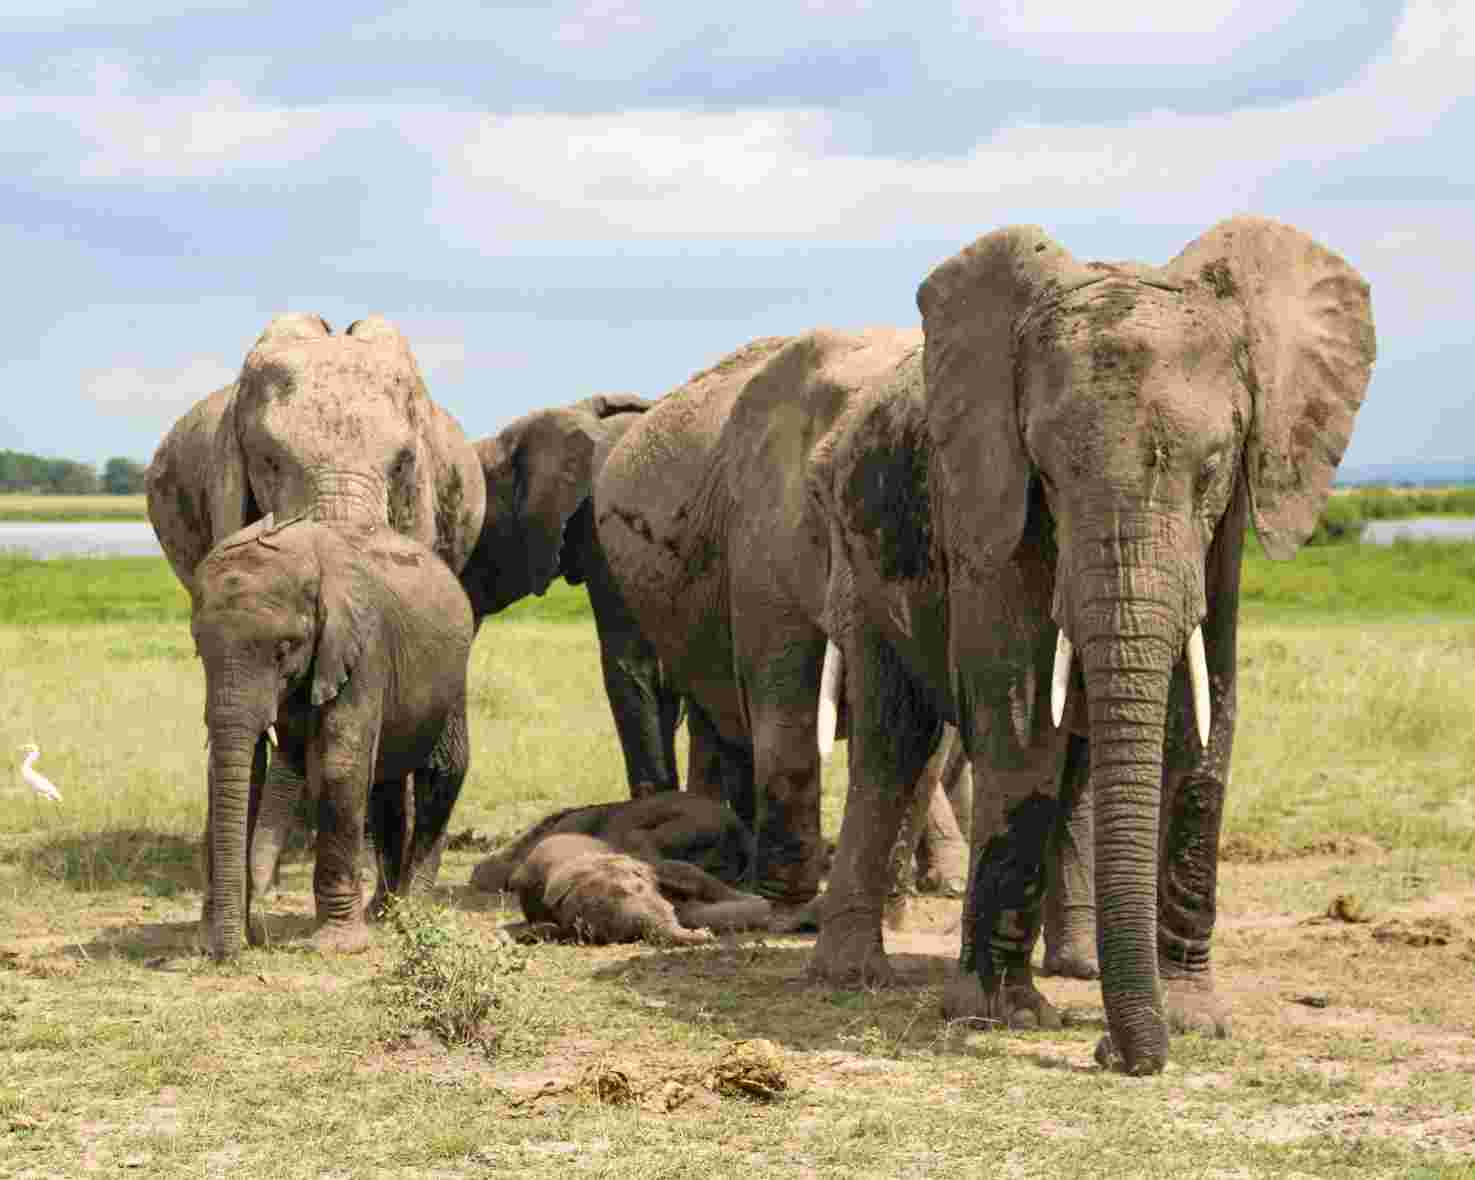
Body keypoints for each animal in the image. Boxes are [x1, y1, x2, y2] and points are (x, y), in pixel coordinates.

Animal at [189, 513, 474, 960]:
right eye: (199, 648)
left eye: (284, 648)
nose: (232, 953)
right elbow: (236, 771)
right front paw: (210, 939)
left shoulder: (362, 645)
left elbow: (341, 763)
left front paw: (337, 945)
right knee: (385, 789)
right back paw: (381, 913)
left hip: (453, 678)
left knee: (442, 773)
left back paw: (410, 913)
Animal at [793, 217, 1374, 1074]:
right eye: (1049, 471)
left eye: (1212, 467)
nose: (1110, 1054)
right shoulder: (988, 500)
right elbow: (1018, 713)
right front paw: (998, 1015)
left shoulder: (1225, 533)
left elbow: (1205, 716)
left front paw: (1190, 1020)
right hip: (859, 561)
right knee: (892, 743)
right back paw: (852, 976)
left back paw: (1078, 968)